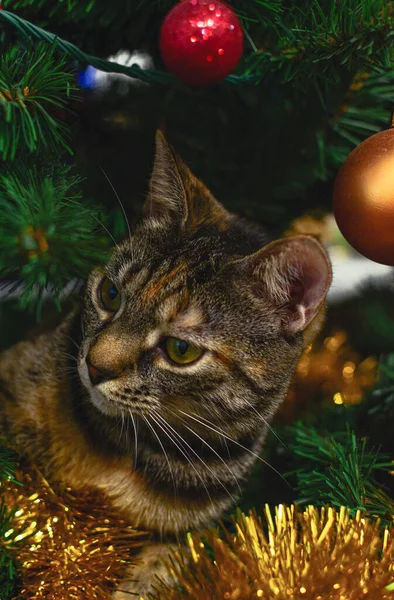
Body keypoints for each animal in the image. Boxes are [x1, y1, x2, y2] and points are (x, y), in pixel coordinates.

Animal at [0, 131, 332, 596]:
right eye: (110, 294)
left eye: (180, 350)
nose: (95, 367)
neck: (127, 450)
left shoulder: (188, 537)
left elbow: (156, 575)